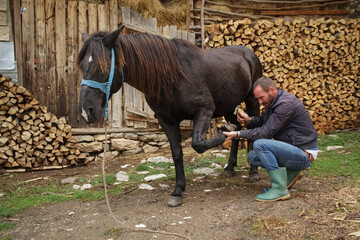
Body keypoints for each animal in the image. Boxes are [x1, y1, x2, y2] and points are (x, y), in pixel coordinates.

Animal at [78, 25, 262, 206]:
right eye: (82, 66)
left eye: (102, 67)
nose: (86, 112)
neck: (173, 75)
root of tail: (249, 53)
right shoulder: (166, 120)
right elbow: (177, 153)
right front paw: (178, 190)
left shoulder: (204, 110)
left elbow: (198, 144)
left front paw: (224, 131)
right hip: (228, 106)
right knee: (239, 128)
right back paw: (230, 167)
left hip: (252, 101)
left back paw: (253, 172)